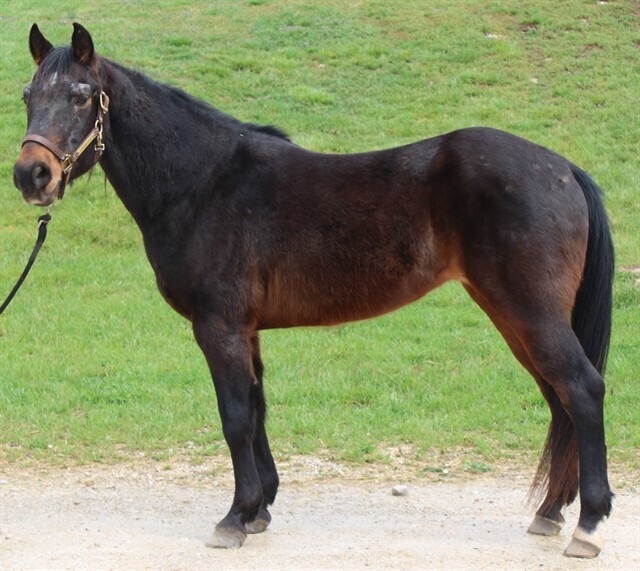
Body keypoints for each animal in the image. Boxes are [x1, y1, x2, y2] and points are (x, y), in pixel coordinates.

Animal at [13, 24, 614, 558]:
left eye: (81, 96)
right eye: (27, 95)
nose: (31, 175)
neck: (203, 181)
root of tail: (563, 168)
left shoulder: (218, 327)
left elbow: (235, 416)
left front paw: (234, 518)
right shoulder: (246, 330)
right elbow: (256, 409)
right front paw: (259, 511)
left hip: (531, 315)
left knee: (582, 390)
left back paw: (588, 526)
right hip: (513, 318)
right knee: (558, 399)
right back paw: (550, 514)